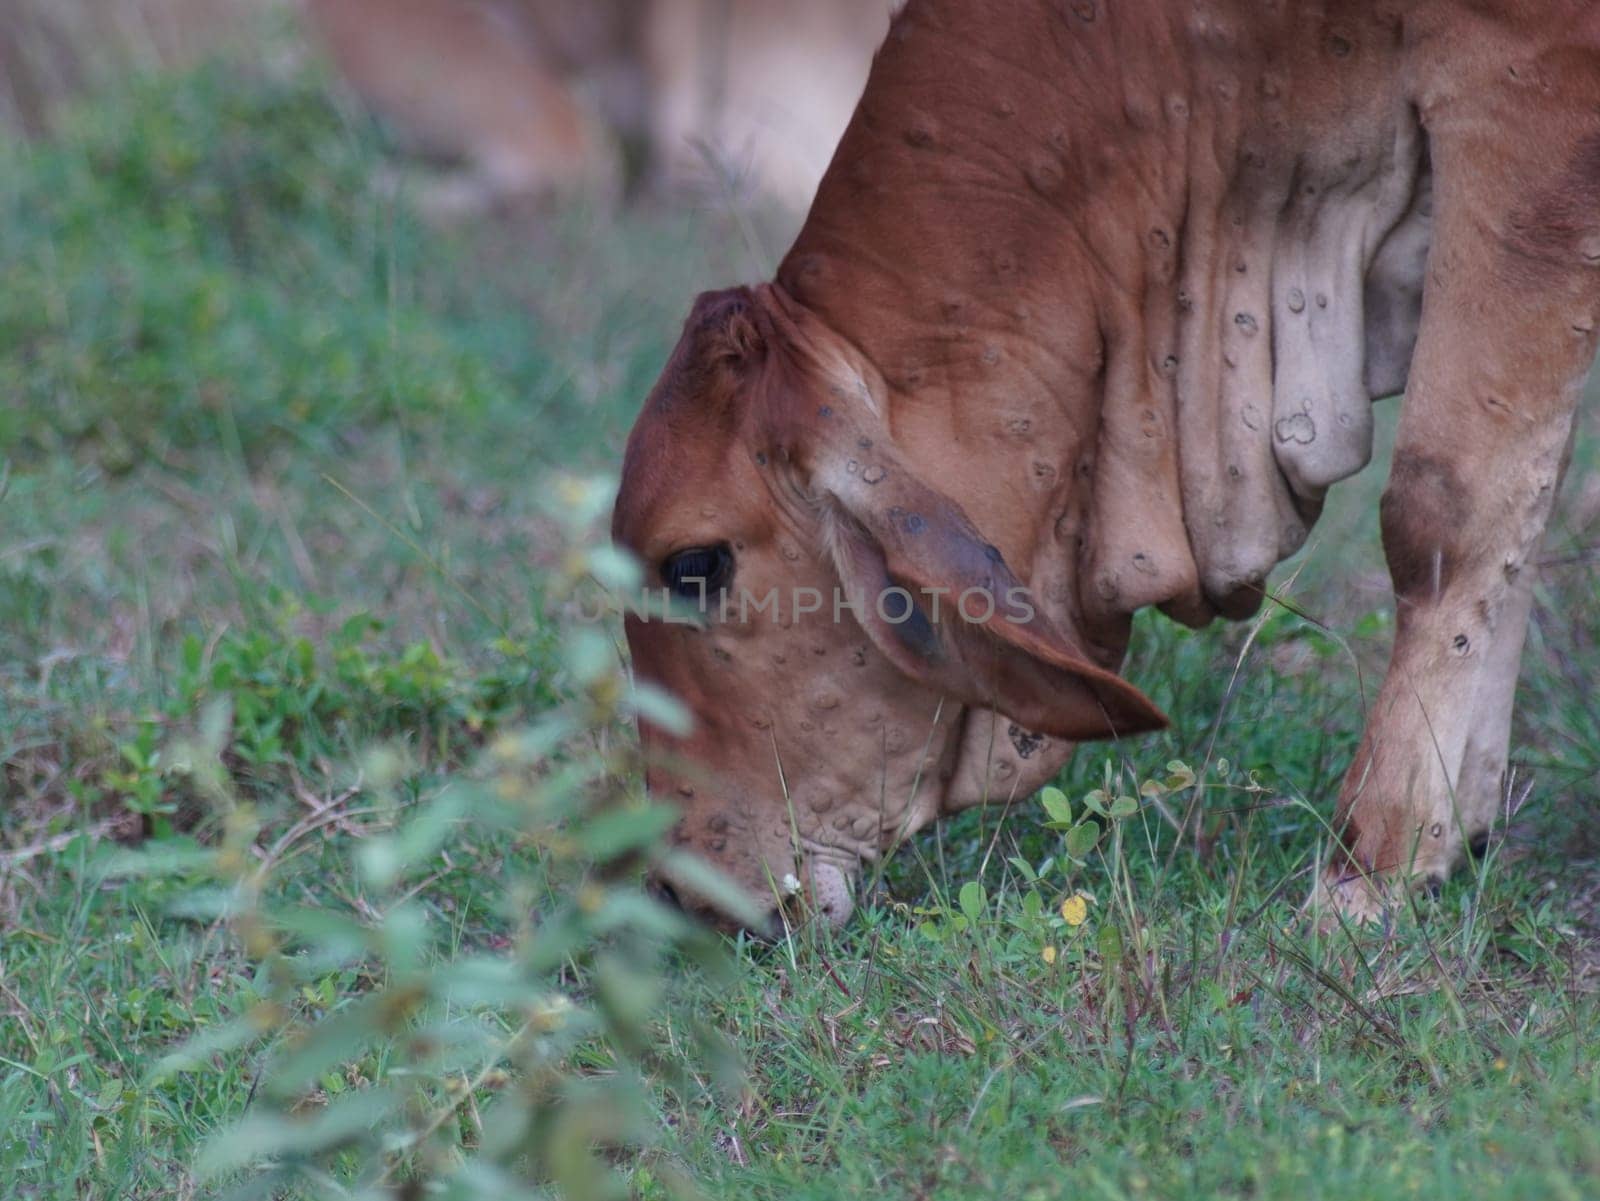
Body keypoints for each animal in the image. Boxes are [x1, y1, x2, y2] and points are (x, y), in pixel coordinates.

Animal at [608, 0, 1600, 927]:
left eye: (693, 566)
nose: (676, 888)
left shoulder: (1525, 89)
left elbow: (1447, 509)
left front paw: (1374, 866)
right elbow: (1525, 500)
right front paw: (1460, 826)